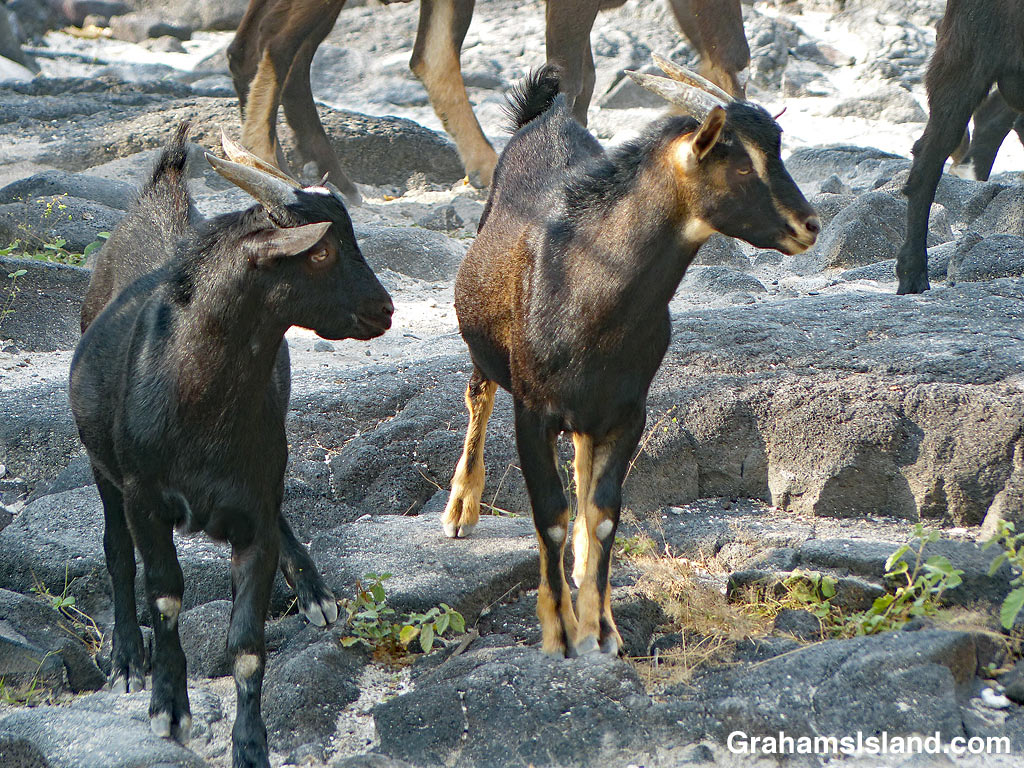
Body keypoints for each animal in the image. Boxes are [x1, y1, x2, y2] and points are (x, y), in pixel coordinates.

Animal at [70, 125, 393, 768]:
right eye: (321, 252)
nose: (384, 309)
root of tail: (160, 201)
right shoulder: (145, 499)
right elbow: (164, 595)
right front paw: (169, 709)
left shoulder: (254, 510)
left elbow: (247, 643)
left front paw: (251, 745)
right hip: (102, 467)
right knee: (115, 549)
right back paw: (126, 658)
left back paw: (313, 591)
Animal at [442, 61, 817, 657]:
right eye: (738, 163)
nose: (809, 225)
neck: (589, 288)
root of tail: (545, 117)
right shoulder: (533, 410)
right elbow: (550, 513)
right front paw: (561, 634)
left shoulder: (628, 410)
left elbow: (601, 514)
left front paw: (603, 630)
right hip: (486, 348)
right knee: (478, 393)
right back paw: (460, 509)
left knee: (579, 457)